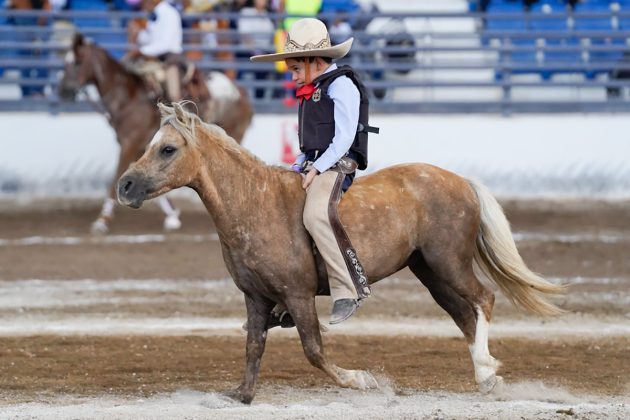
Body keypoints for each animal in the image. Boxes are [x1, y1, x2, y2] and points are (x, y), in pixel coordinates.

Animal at [59, 34, 254, 235]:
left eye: (77, 62)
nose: (62, 90)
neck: (129, 98)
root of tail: (241, 92)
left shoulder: (129, 145)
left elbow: (115, 179)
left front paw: (102, 220)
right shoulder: (140, 148)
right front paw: (172, 216)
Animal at [117, 101, 568, 404]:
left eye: (168, 149)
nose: (124, 186)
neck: (255, 202)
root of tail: (460, 180)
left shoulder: (297, 295)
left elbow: (314, 350)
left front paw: (361, 380)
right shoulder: (256, 298)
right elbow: (254, 347)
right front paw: (241, 394)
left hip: (449, 263)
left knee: (483, 300)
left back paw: (487, 370)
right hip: (430, 271)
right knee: (464, 314)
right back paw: (485, 376)